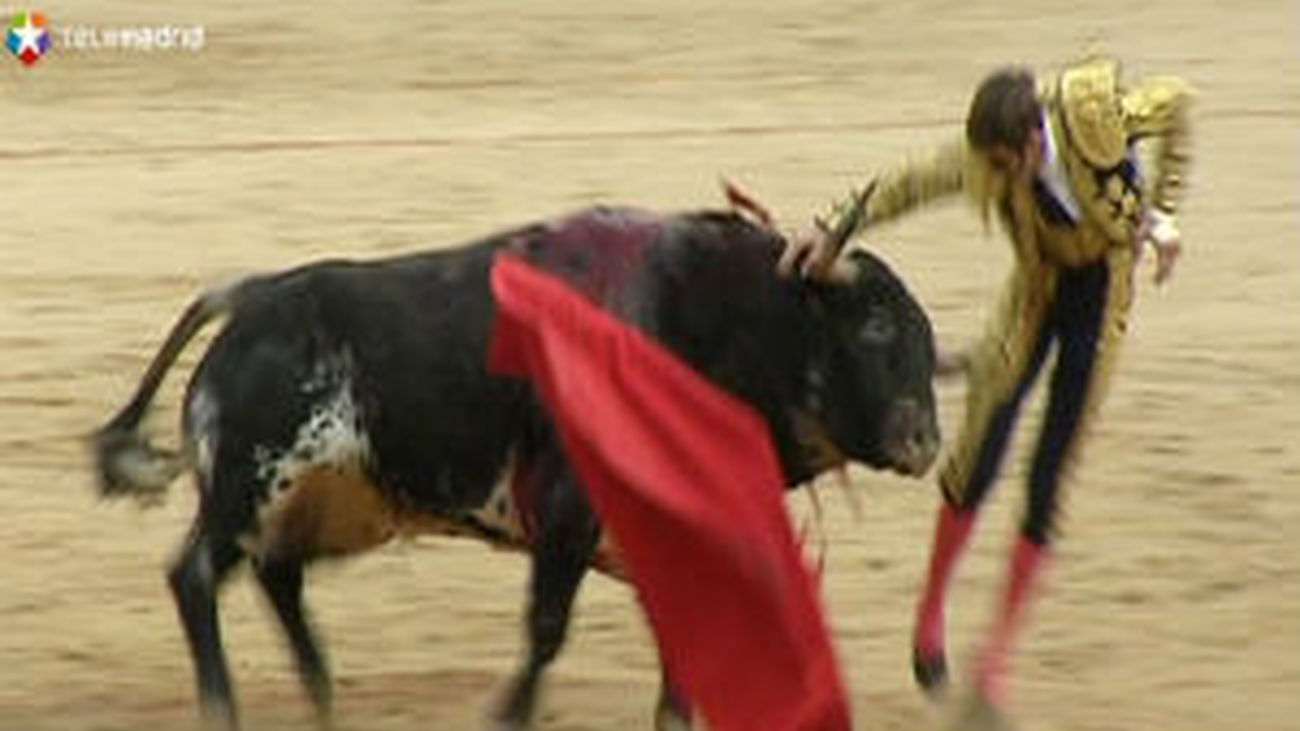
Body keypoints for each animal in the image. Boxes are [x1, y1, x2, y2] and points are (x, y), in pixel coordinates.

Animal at [94, 206, 946, 728]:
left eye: (926, 341)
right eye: (874, 325)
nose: (926, 441)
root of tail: (251, 298)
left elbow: (681, 650)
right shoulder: (568, 513)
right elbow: (546, 628)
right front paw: (504, 712)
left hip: (325, 502)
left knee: (278, 580)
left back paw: (323, 698)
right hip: (249, 487)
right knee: (194, 575)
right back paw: (225, 707)